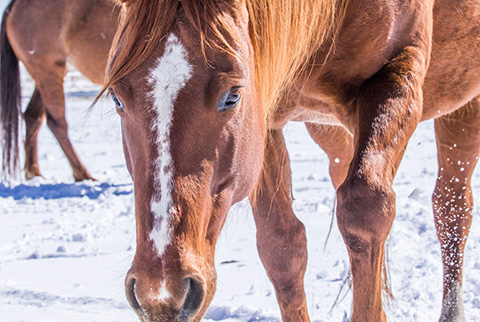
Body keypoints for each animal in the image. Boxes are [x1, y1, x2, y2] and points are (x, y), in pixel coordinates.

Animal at [0, 0, 120, 181]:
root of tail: (15, 5)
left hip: (46, 76)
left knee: (32, 116)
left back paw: (33, 172)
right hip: (48, 73)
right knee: (56, 122)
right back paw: (82, 174)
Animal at [99, 0, 478, 322]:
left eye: (233, 95)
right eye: (116, 97)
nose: (162, 292)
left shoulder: (399, 74)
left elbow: (364, 210)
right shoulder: (266, 118)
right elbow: (281, 244)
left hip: (463, 108)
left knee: (451, 207)